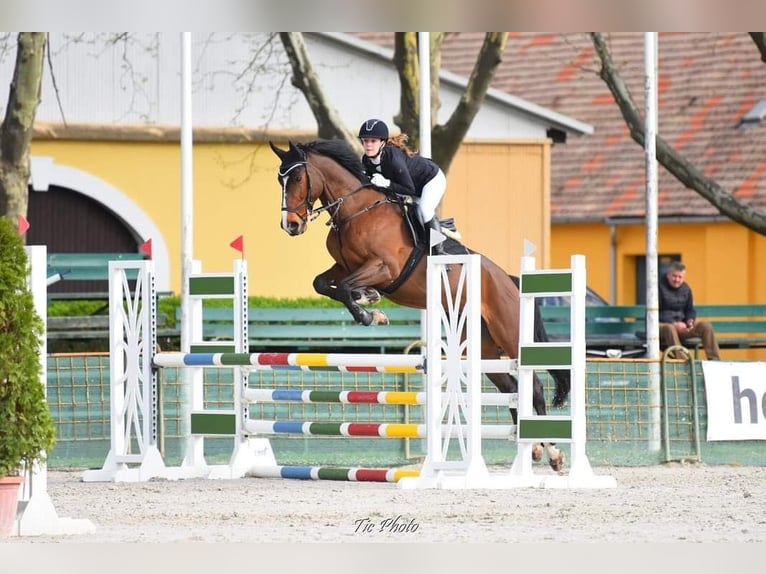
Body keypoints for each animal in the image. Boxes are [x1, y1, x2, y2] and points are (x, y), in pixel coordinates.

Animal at [270, 140, 568, 472]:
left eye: (298, 178)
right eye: (280, 180)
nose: (290, 225)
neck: (354, 211)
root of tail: (510, 281)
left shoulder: (384, 267)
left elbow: (346, 287)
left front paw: (370, 311)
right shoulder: (342, 266)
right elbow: (322, 284)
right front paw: (369, 302)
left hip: (510, 332)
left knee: (534, 387)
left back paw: (552, 453)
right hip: (482, 346)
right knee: (511, 389)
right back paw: (532, 450)